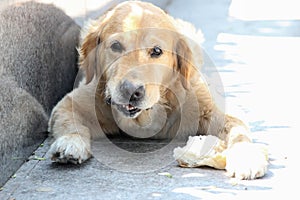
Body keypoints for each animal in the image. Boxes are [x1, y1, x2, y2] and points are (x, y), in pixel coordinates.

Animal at [48, 0, 268, 180]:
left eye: (156, 51)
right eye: (116, 46)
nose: (130, 90)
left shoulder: (208, 106)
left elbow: (238, 131)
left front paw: (246, 156)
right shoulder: (72, 102)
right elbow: (70, 121)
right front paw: (70, 143)